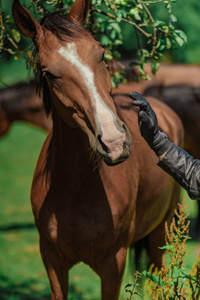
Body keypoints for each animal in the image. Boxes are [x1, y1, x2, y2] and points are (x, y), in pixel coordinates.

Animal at [11, 1, 183, 298]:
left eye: (101, 55)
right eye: (48, 73)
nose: (114, 142)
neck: (77, 189)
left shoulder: (114, 263)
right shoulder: (52, 261)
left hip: (162, 231)